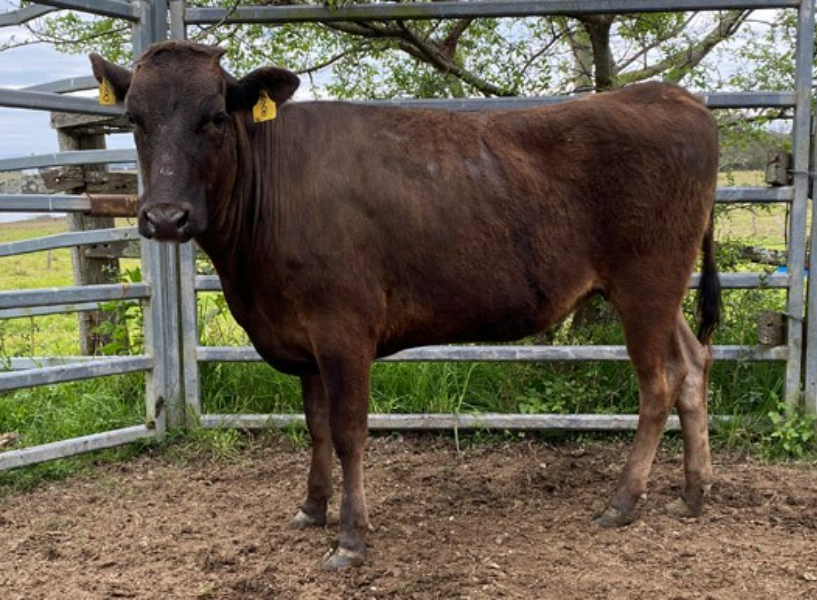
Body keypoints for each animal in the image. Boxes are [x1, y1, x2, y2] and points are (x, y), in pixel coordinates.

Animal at [90, 40, 721, 571]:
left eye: (216, 117)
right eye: (133, 120)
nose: (165, 218)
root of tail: (669, 94)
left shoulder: (342, 328)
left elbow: (347, 430)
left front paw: (350, 538)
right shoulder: (302, 335)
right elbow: (315, 427)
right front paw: (311, 508)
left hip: (646, 283)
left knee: (658, 384)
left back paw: (623, 501)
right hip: (662, 291)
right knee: (693, 363)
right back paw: (692, 493)